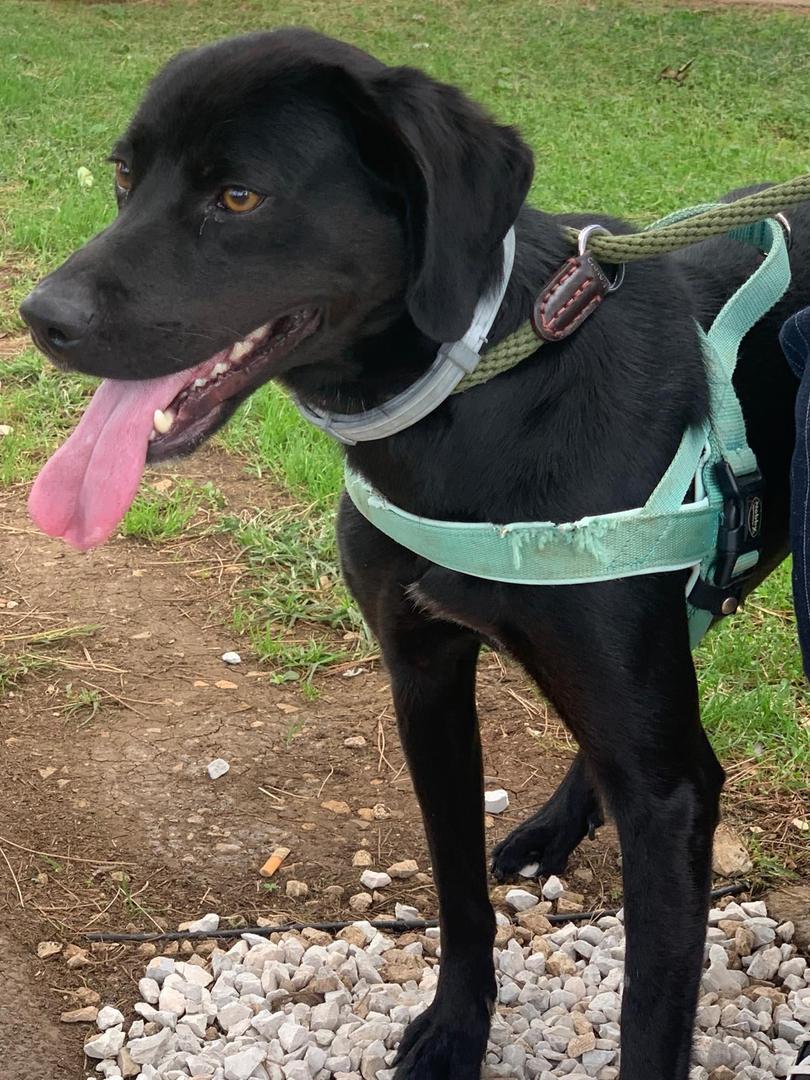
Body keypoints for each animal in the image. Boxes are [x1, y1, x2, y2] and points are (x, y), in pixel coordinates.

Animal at [18, 28, 810, 1079]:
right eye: (121, 175)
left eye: (240, 197)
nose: (40, 318)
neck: (482, 393)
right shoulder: (423, 678)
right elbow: (458, 890)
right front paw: (455, 1028)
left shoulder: (664, 792)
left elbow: (652, 1009)